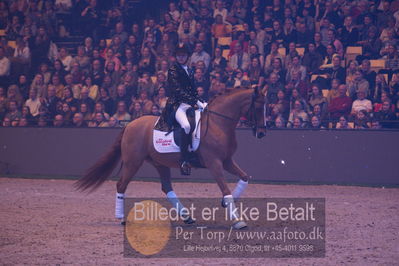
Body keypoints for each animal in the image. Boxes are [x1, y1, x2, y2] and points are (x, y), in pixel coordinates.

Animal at [76, 88, 268, 229]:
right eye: (258, 107)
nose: (262, 133)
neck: (217, 123)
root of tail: (130, 125)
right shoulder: (214, 163)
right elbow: (225, 189)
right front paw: (238, 220)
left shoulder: (227, 161)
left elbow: (244, 178)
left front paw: (228, 205)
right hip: (133, 162)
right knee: (121, 185)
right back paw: (121, 218)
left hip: (160, 163)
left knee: (167, 187)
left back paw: (187, 217)